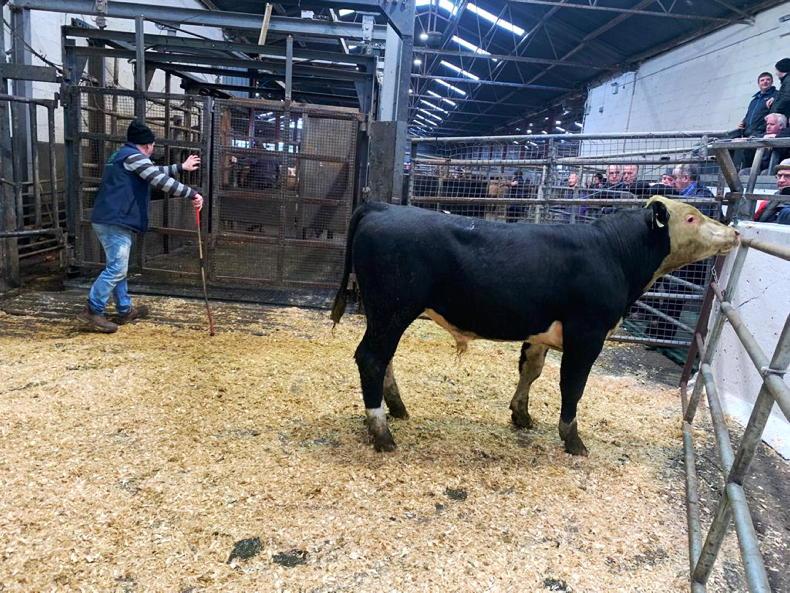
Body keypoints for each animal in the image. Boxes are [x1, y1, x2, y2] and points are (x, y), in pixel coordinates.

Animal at [330, 197, 739, 455]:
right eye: (691, 218)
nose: (734, 232)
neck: (614, 252)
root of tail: (383, 206)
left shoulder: (543, 331)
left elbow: (531, 370)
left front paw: (521, 415)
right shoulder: (586, 334)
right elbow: (572, 386)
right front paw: (573, 440)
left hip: (386, 315)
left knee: (383, 359)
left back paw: (397, 409)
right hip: (392, 309)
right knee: (371, 358)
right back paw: (382, 432)